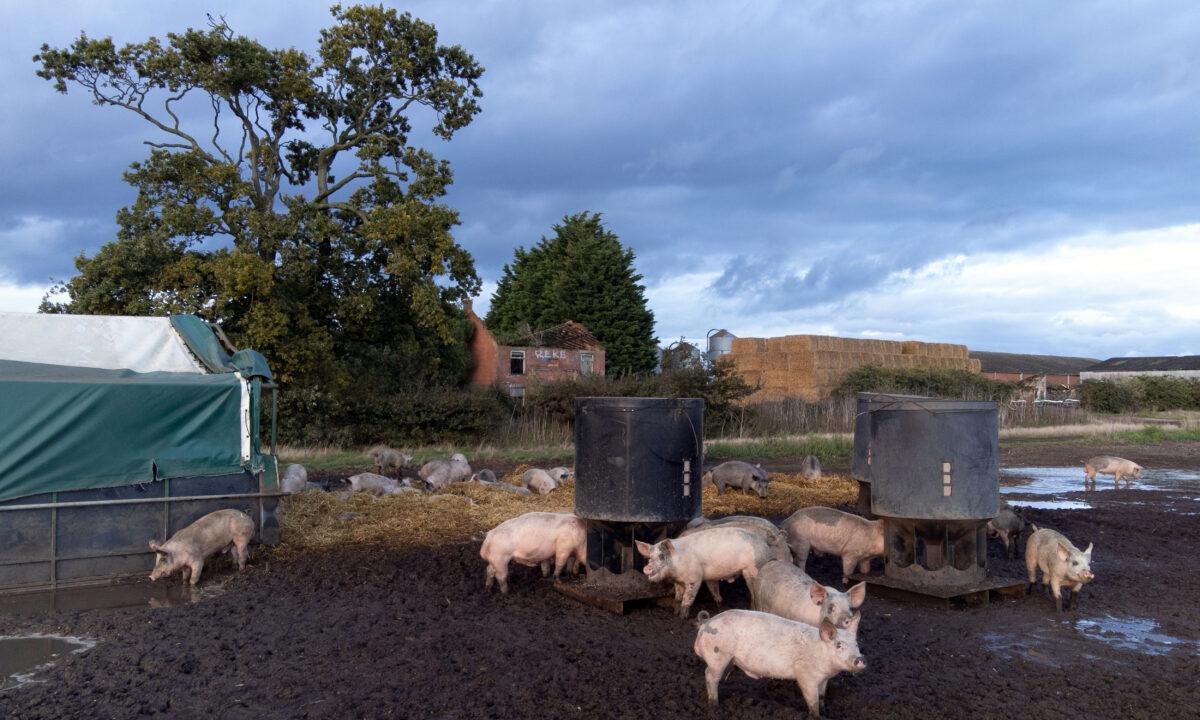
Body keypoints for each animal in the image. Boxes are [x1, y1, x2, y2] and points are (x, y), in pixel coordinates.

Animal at [633, 523, 772, 619]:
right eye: (650, 557)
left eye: (662, 556)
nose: (647, 568)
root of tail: (765, 545)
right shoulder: (678, 582)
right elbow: (678, 597)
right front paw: (675, 613)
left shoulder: (695, 578)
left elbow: (687, 598)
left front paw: (682, 617)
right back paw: (720, 604)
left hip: (752, 569)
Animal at [691, 607, 868, 715]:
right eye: (839, 645)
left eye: (856, 644)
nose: (860, 659)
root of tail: (705, 624)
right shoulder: (805, 675)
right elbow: (813, 700)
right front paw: (816, 715)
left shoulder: (824, 679)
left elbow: (823, 696)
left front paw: (825, 710)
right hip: (718, 655)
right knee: (709, 675)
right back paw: (715, 706)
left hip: (727, 659)